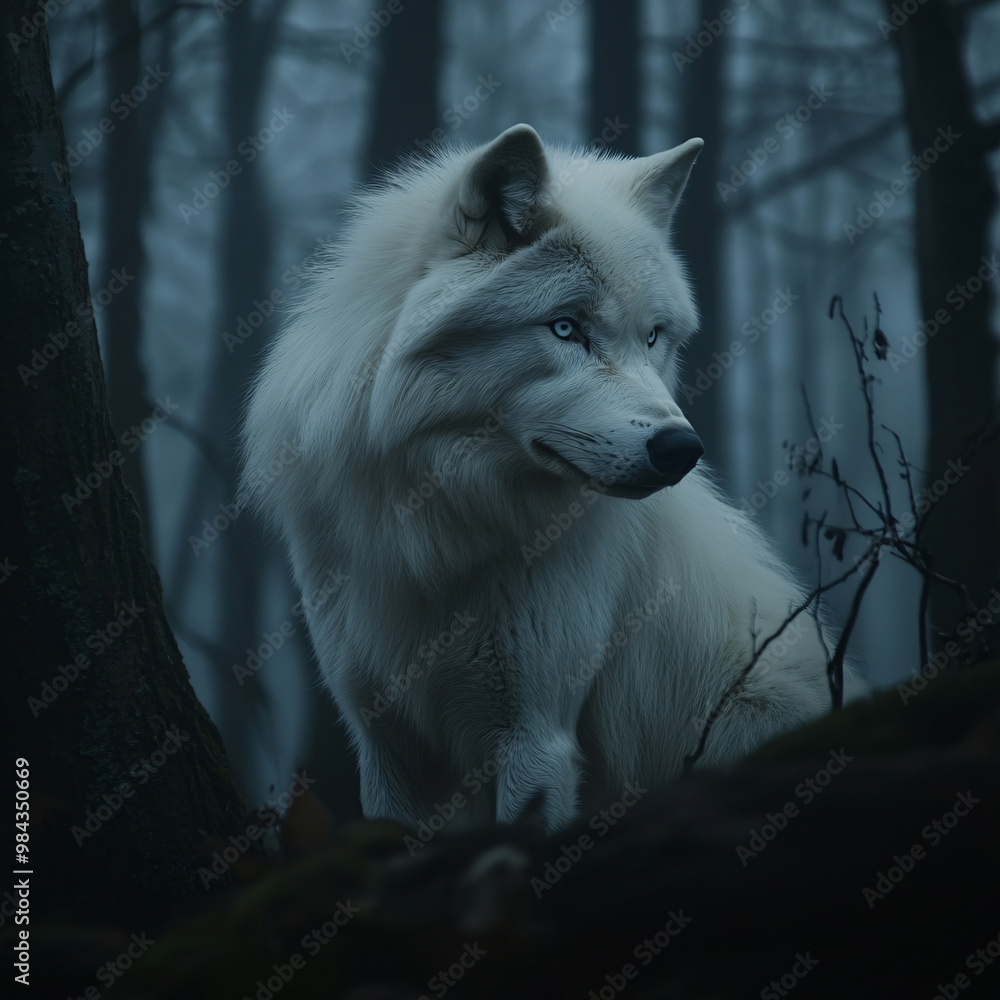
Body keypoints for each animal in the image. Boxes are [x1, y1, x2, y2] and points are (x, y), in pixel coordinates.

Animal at [241, 124, 866, 832]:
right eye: (566, 328)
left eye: (654, 336)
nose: (682, 448)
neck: (440, 529)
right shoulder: (386, 744)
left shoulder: (536, 735)